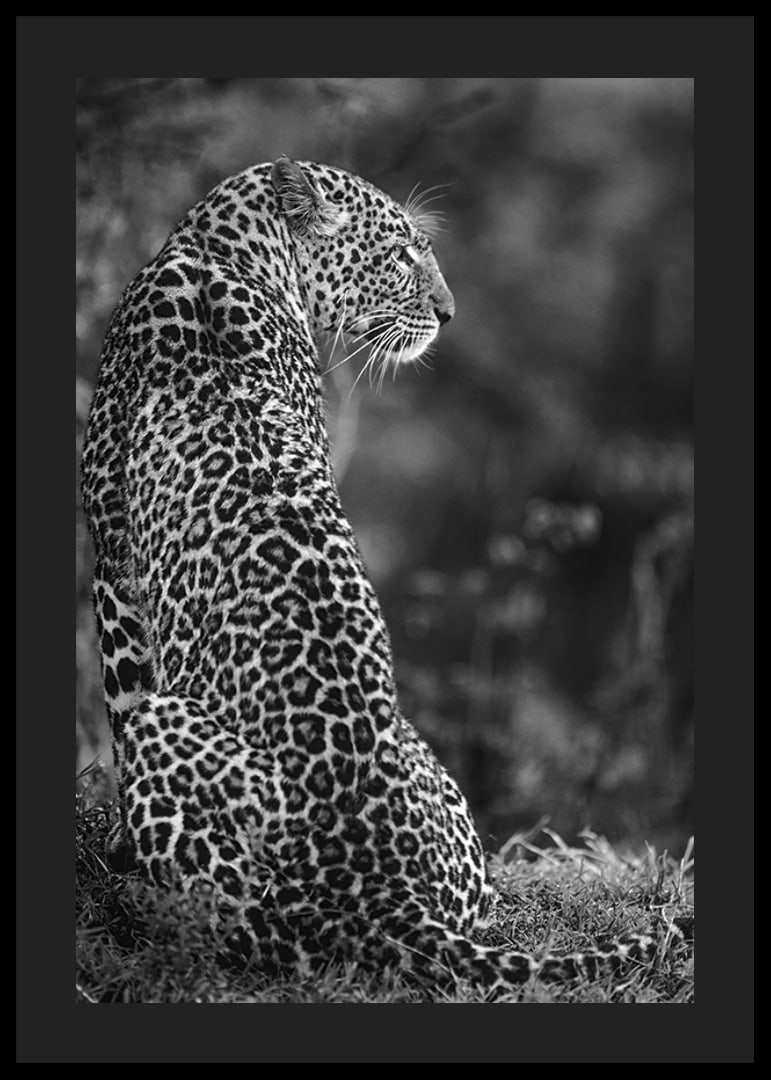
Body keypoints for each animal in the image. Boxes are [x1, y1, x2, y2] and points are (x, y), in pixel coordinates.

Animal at [81, 156, 663, 994]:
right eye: (399, 255)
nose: (449, 315)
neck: (219, 246)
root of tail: (383, 895)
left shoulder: (112, 559)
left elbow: (120, 700)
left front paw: (118, 843)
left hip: (190, 760)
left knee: (237, 920)